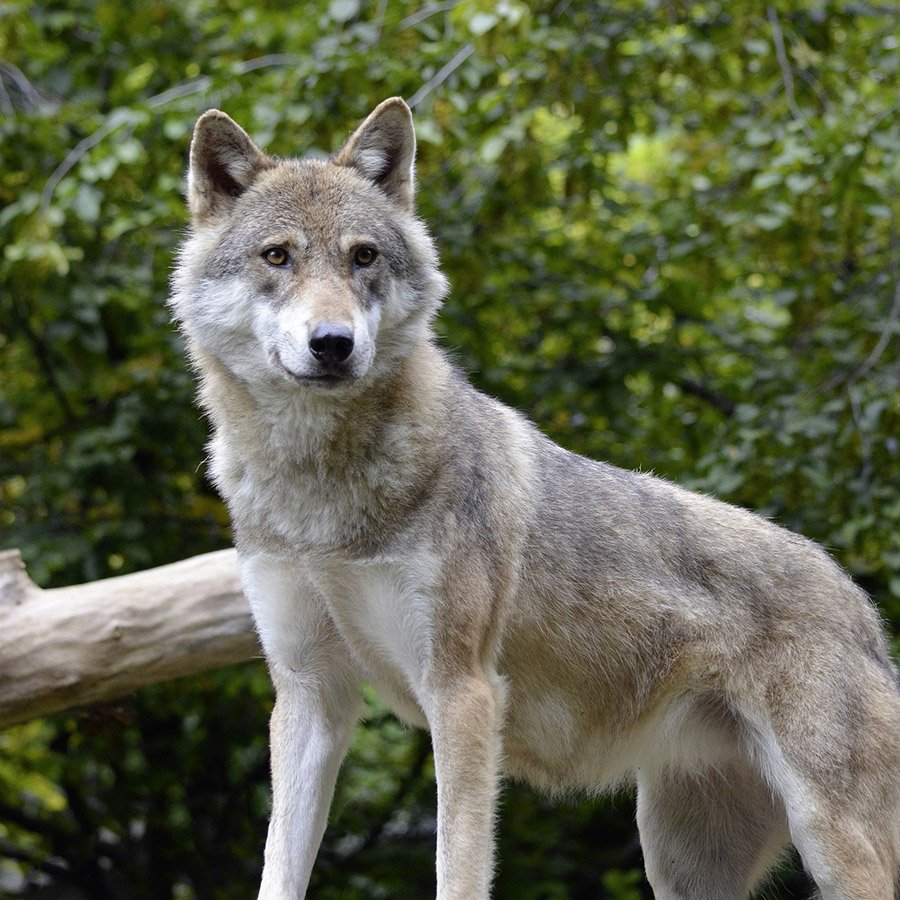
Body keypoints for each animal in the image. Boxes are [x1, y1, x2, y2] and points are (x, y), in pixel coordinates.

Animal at [170, 97, 900, 899]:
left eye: (363, 257)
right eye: (278, 257)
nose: (333, 343)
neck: (318, 498)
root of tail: (864, 610)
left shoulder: (462, 693)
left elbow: (457, 867)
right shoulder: (310, 696)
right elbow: (278, 868)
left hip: (832, 843)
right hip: (679, 864)